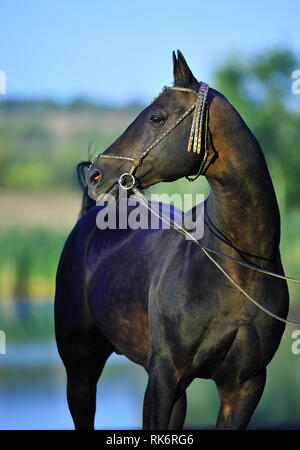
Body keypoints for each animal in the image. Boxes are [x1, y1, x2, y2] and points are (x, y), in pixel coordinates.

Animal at [55, 51, 290, 430]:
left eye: (156, 117)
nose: (97, 175)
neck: (237, 269)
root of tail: (89, 215)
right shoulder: (165, 376)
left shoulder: (243, 386)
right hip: (80, 370)